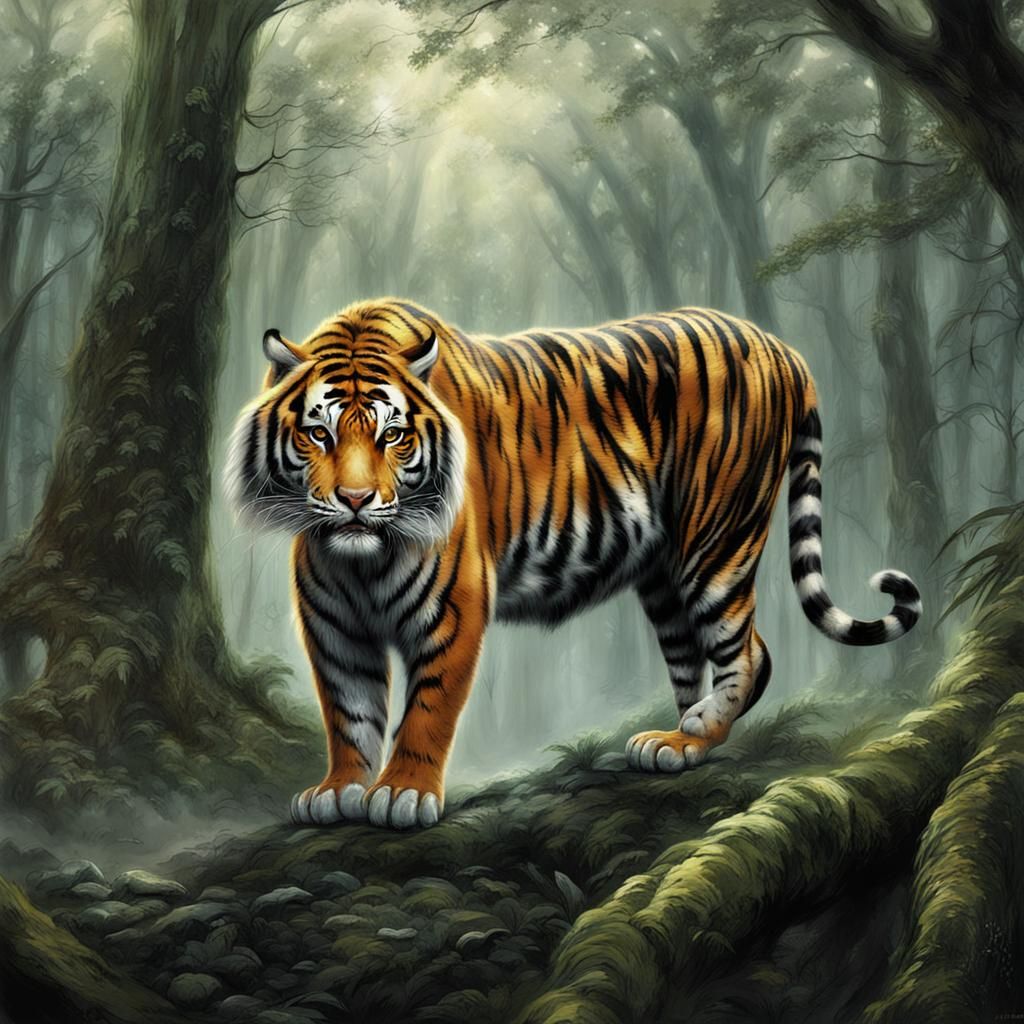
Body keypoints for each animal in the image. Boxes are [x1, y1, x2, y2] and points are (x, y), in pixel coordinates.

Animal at [225, 299, 921, 830]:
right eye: (319, 433)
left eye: (392, 436)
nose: (355, 501)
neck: (360, 559)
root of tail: (781, 347)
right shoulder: (333, 623)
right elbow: (348, 710)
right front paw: (339, 789)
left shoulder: (454, 606)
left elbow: (427, 707)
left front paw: (402, 793)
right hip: (662, 575)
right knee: (702, 656)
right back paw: (674, 740)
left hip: (717, 540)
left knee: (746, 652)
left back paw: (693, 734)